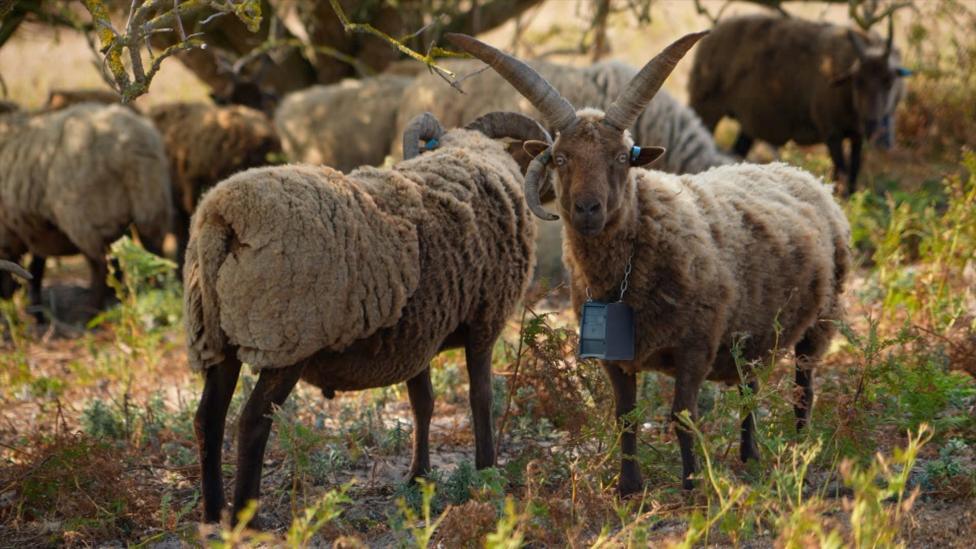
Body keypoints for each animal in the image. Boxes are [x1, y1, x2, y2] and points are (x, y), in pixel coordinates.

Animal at [0, 103, 173, 314]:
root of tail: (132, 144)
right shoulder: (35, 233)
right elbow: (35, 271)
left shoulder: (9, 234)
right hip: (152, 208)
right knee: (154, 255)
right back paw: (155, 297)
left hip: (89, 218)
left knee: (101, 266)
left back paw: (90, 310)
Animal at [186, 110, 549, 524]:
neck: (473, 159)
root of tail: (222, 214)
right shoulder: (484, 322)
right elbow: (481, 398)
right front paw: (486, 472)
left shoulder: (420, 334)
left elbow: (423, 402)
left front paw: (418, 476)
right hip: (287, 337)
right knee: (251, 423)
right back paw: (247, 520)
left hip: (216, 337)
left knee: (208, 419)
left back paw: (213, 513)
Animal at [451, 31, 851, 495]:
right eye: (561, 158)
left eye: (623, 157)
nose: (587, 209)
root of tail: (805, 175)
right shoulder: (613, 357)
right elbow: (625, 417)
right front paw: (628, 487)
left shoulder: (697, 344)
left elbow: (682, 417)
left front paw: (692, 486)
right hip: (752, 332)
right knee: (749, 389)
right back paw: (750, 457)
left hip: (821, 320)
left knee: (803, 389)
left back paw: (801, 448)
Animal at [688, 14, 911, 194]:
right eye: (858, 81)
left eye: (890, 81)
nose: (875, 127)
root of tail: (713, 32)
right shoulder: (832, 133)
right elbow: (840, 174)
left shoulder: (856, 136)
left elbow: (853, 175)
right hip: (705, 109)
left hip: (747, 124)